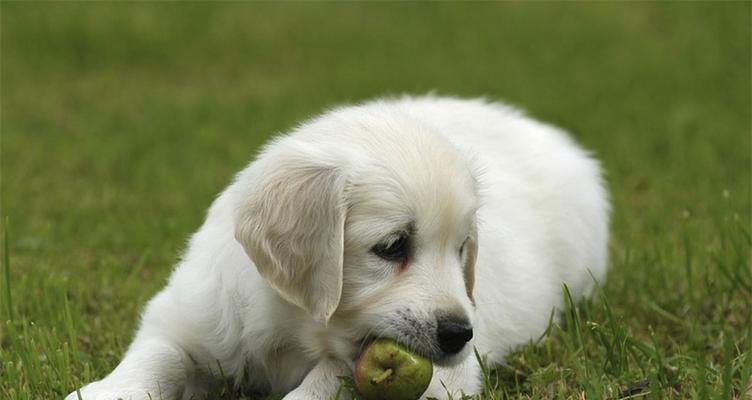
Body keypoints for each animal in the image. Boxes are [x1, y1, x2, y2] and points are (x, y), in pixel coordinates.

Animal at [66, 96, 612, 400]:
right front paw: (107, 392)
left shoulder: (444, 380)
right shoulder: (189, 312)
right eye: (392, 246)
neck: (292, 329)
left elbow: (331, 377)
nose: (461, 334)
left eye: (462, 250)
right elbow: (158, 354)